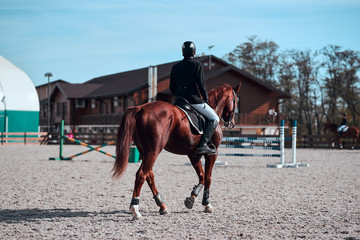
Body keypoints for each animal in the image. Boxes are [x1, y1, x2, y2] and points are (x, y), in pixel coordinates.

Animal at [112, 83, 242, 219]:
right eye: (236, 100)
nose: (231, 123)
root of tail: (140, 108)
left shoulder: (194, 155)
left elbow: (201, 176)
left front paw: (192, 197)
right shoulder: (212, 154)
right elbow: (208, 178)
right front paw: (207, 204)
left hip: (144, 152)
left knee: (149, 176)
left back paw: (162, 205)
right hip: (153, 151)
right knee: (141, 175)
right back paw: (135, 210)